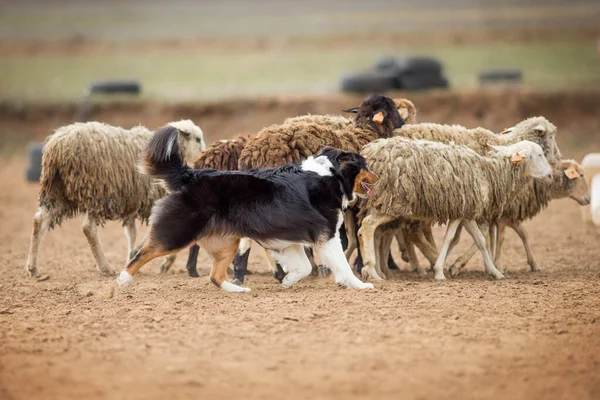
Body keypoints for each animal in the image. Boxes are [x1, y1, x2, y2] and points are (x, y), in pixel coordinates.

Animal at [25, 120, 206, 280]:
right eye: (197, 139)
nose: (204, 154)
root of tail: (57, 146)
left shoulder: (133, 202)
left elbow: (131, 233)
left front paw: (132, 257)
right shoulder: (153, 199)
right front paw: (164, 261)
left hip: (57, 192)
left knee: (39, 221)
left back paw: (33, 268)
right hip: (95, 190)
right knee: (88, 228)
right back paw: (105, 268)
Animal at [115, 126, 378, 292]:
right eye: (365, 164)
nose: (378, 177)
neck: (330, 175)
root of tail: (193, 174)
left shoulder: (288, 238)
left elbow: (303, 267)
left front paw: (287, 281)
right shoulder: (327, 236)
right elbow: (342, 265)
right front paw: (361, 285)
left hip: (227, 240)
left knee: (215, 275)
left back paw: (238, 290)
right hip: (179, 232)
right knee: (141, 254)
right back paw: (120, 282)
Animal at [450, 159, 592, 276]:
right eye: (581, 175)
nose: (589, 199)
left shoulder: (510, 216)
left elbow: (523, 234)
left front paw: (534, 263)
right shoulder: (504, 214)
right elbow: (497, 239)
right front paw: (497, 265)